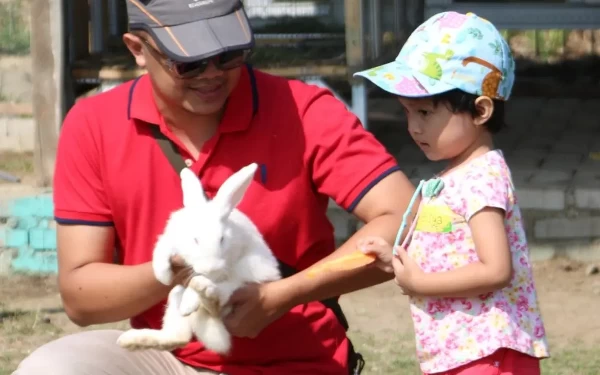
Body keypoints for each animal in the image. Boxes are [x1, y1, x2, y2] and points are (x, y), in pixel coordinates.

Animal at [119, 163, 284, 354]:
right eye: (195, 239)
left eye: (222, 239)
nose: (210, 267)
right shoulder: (169, 239)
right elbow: (161, 253)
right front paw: (164, 277)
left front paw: (189, 300)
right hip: (175, 295)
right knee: (179, 337)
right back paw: (131, 340)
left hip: (246, 277)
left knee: (218, 298)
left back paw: (198, 295)